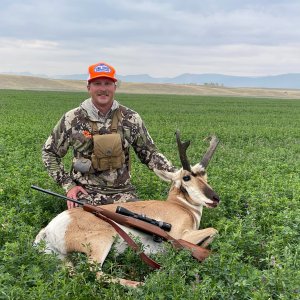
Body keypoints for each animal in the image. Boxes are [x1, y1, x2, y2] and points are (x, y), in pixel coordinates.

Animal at [34, 132, 219, 288]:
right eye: (186, 177)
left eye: (205, 176)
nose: (215, 198)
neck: (180, 205)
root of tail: (49, 228)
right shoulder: (181, 236)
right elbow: (213, 230)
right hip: (103, 240)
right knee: (94, 272)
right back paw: (140, 285)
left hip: (62, 258)